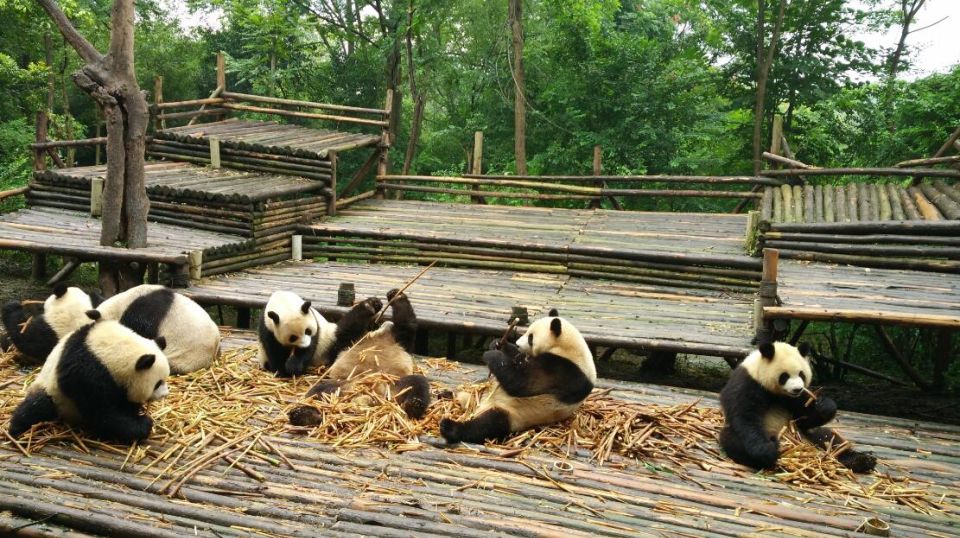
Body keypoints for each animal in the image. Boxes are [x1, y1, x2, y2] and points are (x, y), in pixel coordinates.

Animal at [8, 314, 170, 444]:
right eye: (157, 383)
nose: (165, 394)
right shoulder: (86, 372)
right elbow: (102, 412)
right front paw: (143, 424)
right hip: (53, 391)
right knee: (36, 406)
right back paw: (16, 429)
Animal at [260, 288, 430, 418]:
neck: (379, 335)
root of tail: (370, 393)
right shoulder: (351, 341)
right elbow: (346, 330)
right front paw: (372, 304)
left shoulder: (400, 341)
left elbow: (407, 325)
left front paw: (396, 296)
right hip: (341, 385)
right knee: (318, 392)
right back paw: (305, 414)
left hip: (393, 383)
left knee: (417, 384)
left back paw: (414, 406)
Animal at [440, 308, 592, 442]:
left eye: (531, 337)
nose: (518, 344)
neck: (568, 349)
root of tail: (477, 407)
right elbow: (517, 360)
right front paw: (498, 344)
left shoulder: (564, 371)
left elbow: (522, 383)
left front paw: (493, 354)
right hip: (475, 395)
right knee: (465, 393)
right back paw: (445, 395)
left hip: (513, 414)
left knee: (488, 424)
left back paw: (449, 427)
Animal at [720, 342, 876, 472]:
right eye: (784, 376)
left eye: (801, 374)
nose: (797, 389)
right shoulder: (748, 383)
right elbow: (745, 416)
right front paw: (767, 450)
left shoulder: (796, 399)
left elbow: (805, 417)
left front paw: (825, 406)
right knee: (734, 442)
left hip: (808, 434)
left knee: (830, 438)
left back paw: (862, 460)